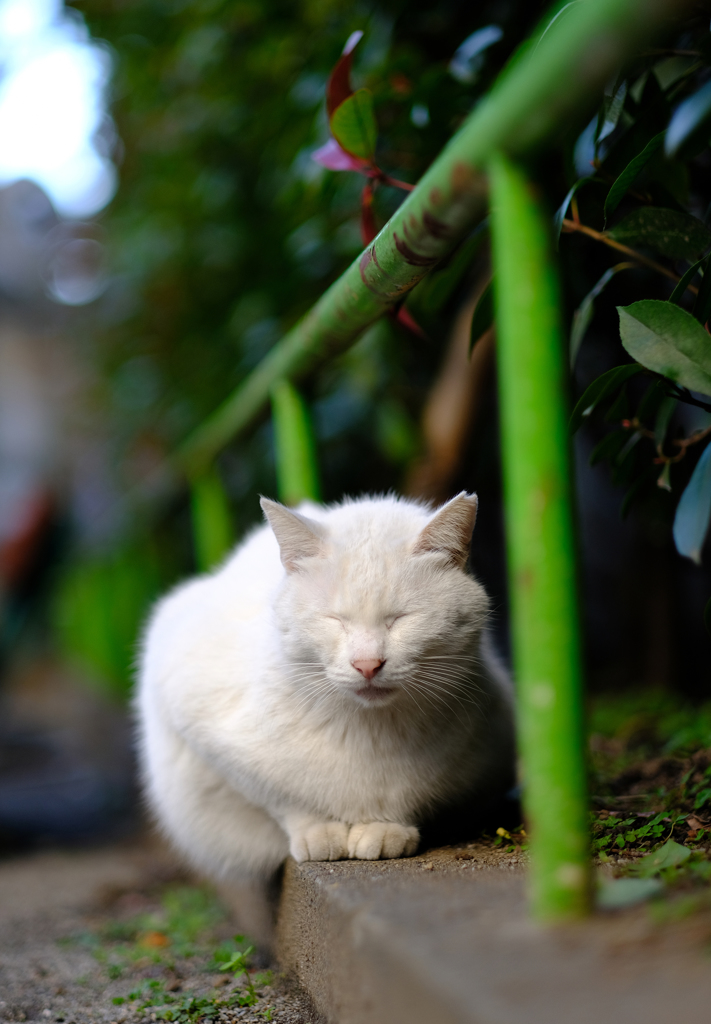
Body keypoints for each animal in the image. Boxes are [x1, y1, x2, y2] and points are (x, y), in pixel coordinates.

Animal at [136, 489, 514, 880]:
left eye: (400, 619)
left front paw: (384, 828)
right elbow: (284, 797)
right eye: (335, 620)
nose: (367, 664)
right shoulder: (202, 725)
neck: (369, 732)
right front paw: (318, 832)